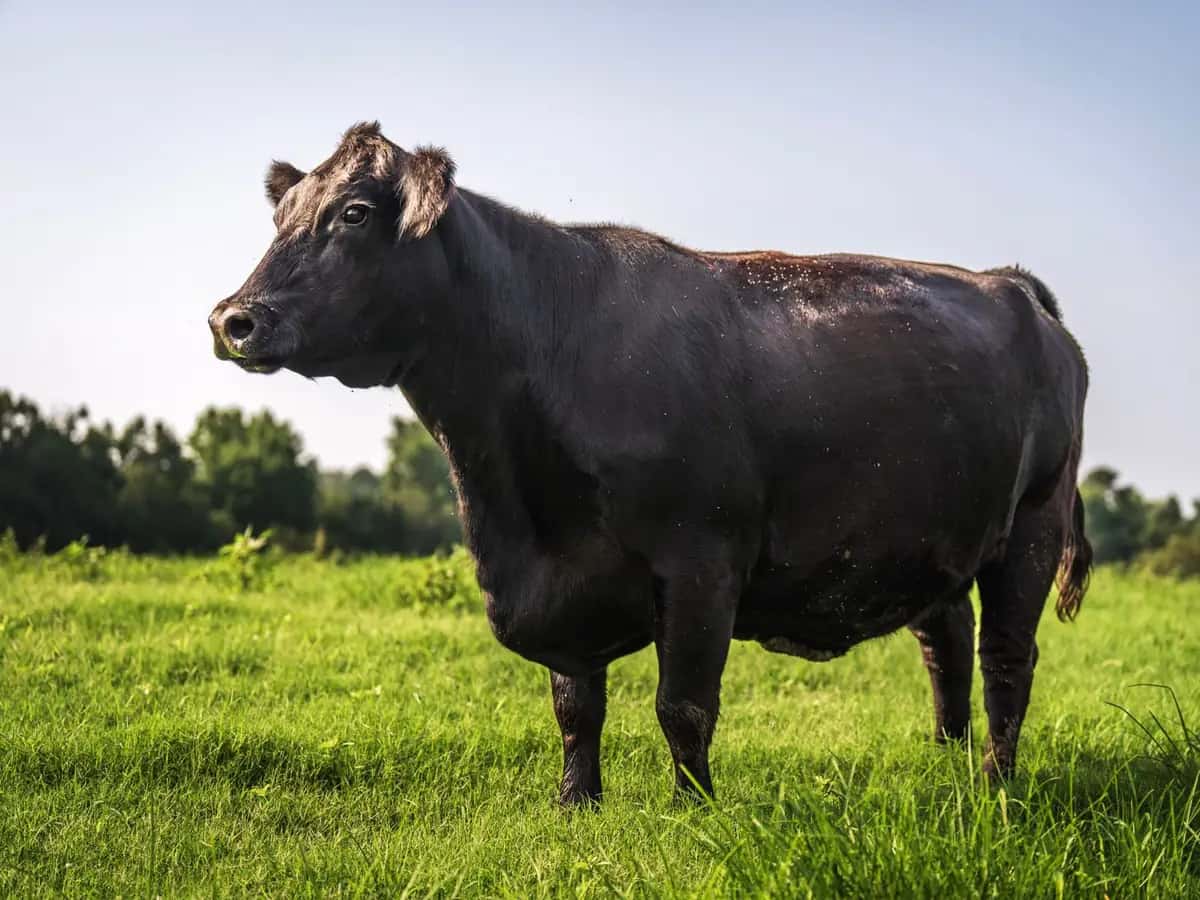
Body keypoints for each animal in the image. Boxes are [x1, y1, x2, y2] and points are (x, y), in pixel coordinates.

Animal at [209, 122, 1091, 805]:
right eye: (284, 214)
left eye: (355, 213)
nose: (233, 319)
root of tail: (1010, 283)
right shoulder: (562, 582)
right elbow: (575, 705)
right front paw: (577, 804)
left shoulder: (700, 562)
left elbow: (683, 705)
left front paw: (693, 809)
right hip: (935, 535)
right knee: (946, 640)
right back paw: (944, 757)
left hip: (1032, 525)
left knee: (1006, 658)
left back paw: (996, 784)